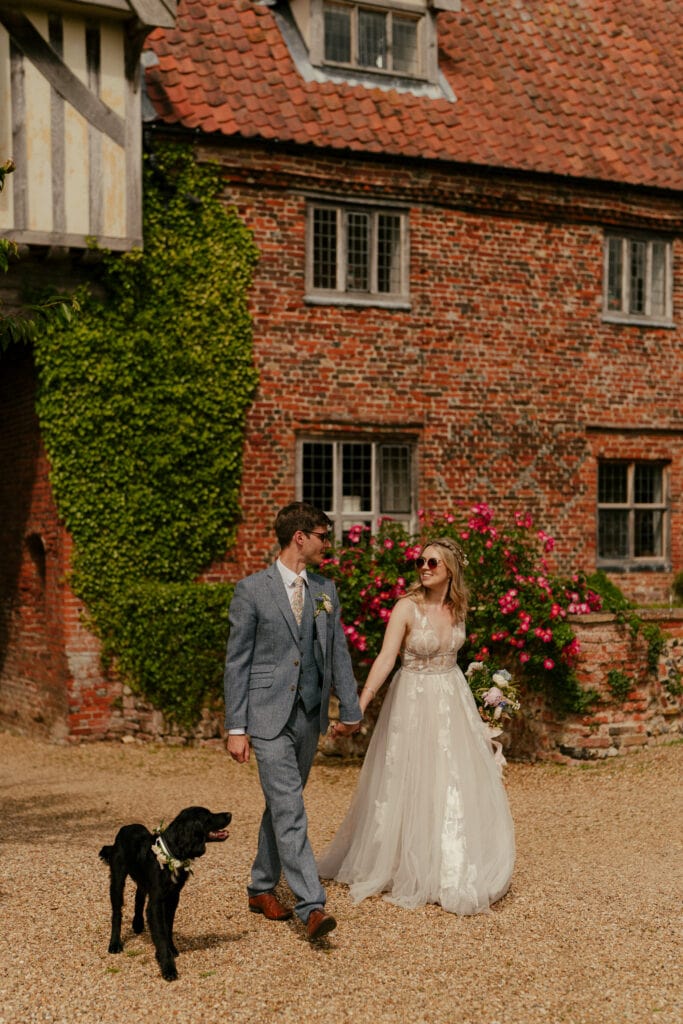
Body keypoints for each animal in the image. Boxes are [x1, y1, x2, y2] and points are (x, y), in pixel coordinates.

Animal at [98, 802, 232, 978]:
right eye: (208, 816)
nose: (230, 814)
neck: (172, 852)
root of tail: (124, 828)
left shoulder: (173, 896)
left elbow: (168, 927)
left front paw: (172, 949)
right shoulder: (157, 901)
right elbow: (160, 934)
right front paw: (168, 967)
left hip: (142, 880)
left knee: (139, 897)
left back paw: (138, 924)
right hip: (117, 879)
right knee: (117, 912)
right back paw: (114, 944)